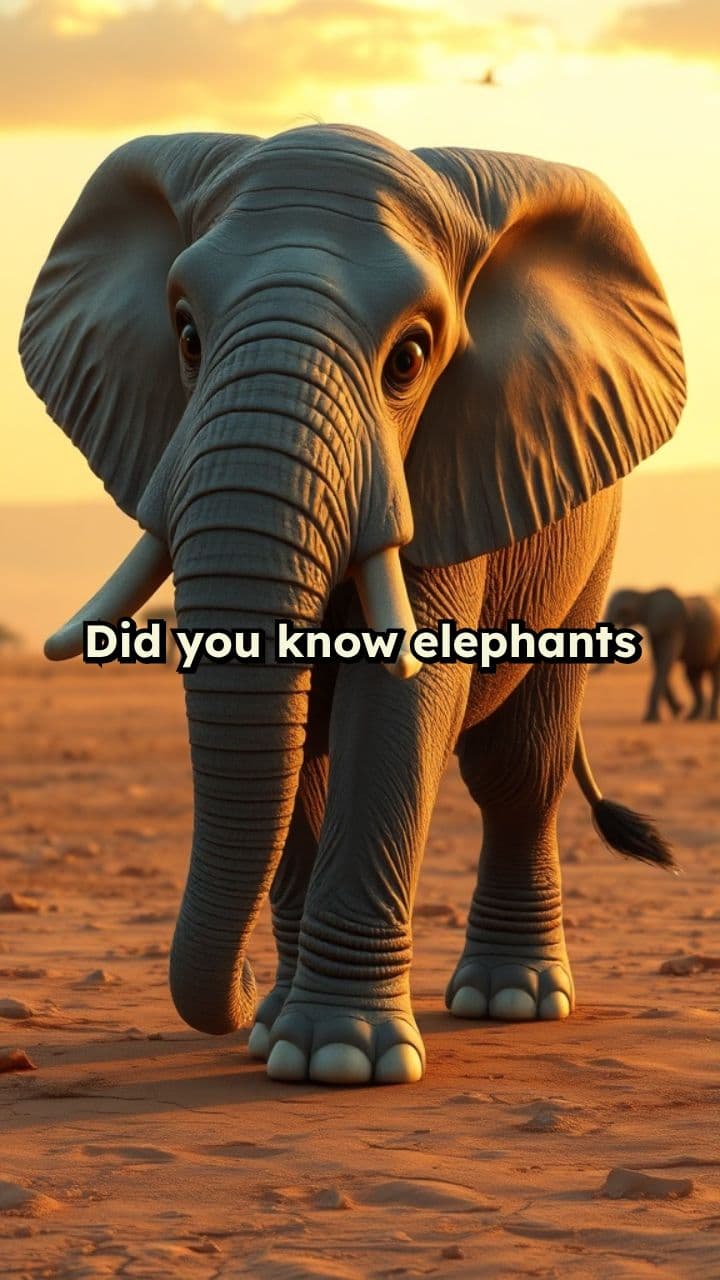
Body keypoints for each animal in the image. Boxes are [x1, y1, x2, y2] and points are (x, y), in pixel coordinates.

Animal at [20, 125, 686, 1087]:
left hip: (590, 550)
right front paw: (274, 1032)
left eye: (408, 360)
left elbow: (398, 705)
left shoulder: (447, 472)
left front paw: (340, 1058)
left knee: (519, 769)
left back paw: (512, 1001)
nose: (238, 985)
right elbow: (301, 738)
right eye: (186, 336)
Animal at [605, 588, 720, 722]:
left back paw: (710, 717)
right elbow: (658, 662)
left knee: (713, 676)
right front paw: (676, 711)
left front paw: (652, 719)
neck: (645, 594)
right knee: (692, 676)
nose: (681, 706)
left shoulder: (674, 626)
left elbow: (665, 662)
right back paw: (693, 717)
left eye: (622, 611)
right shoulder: (655, 629)